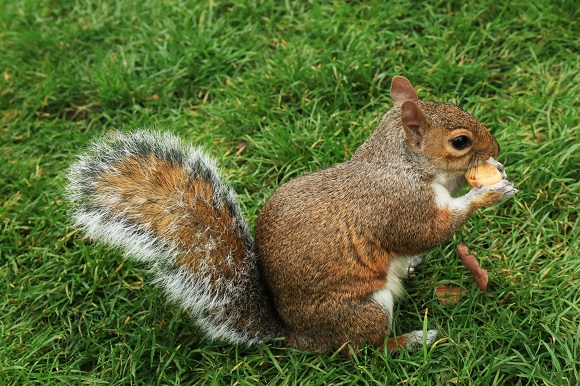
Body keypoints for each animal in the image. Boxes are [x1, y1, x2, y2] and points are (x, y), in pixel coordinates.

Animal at [67, 74, 516, 352]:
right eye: (460, 141)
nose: (495, 147)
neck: (401, 164)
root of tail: (296, 335)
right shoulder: (395, 206)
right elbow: (428, 231)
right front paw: (488, 193)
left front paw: (494, 174)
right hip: (364, 310)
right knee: (364, 351)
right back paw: (410, 341)